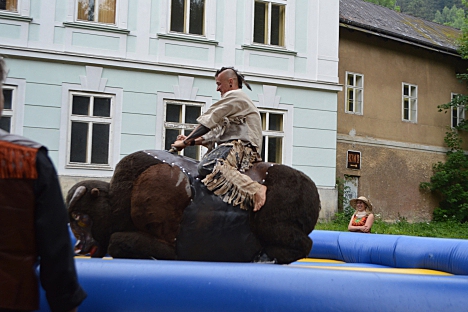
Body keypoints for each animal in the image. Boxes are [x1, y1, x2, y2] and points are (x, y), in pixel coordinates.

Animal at [66, 150, 322, 264]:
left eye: (80, 217)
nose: (78, 247)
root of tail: (310, 188)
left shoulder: (166, 240)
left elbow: (117, 241)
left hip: (272, 226)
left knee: (304, 244)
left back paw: (265, 257)